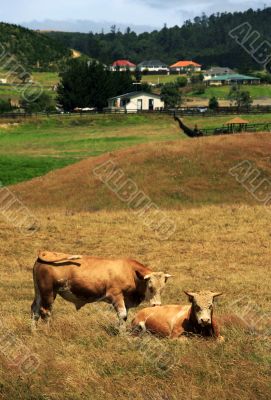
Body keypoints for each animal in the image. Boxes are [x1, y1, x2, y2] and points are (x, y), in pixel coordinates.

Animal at [30, 250, 172, 332]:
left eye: (162, 288)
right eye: (150, 287)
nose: (157, 305)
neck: (130, 272)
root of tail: (47, 253)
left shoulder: (126, 300)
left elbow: (123, 317)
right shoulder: (116, 295)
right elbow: (123, 315)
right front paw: (122, 335)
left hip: (39, 292)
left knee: (35, 309)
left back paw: (34, 331)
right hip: (48, 292)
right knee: (45, 312)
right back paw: (47, 331)